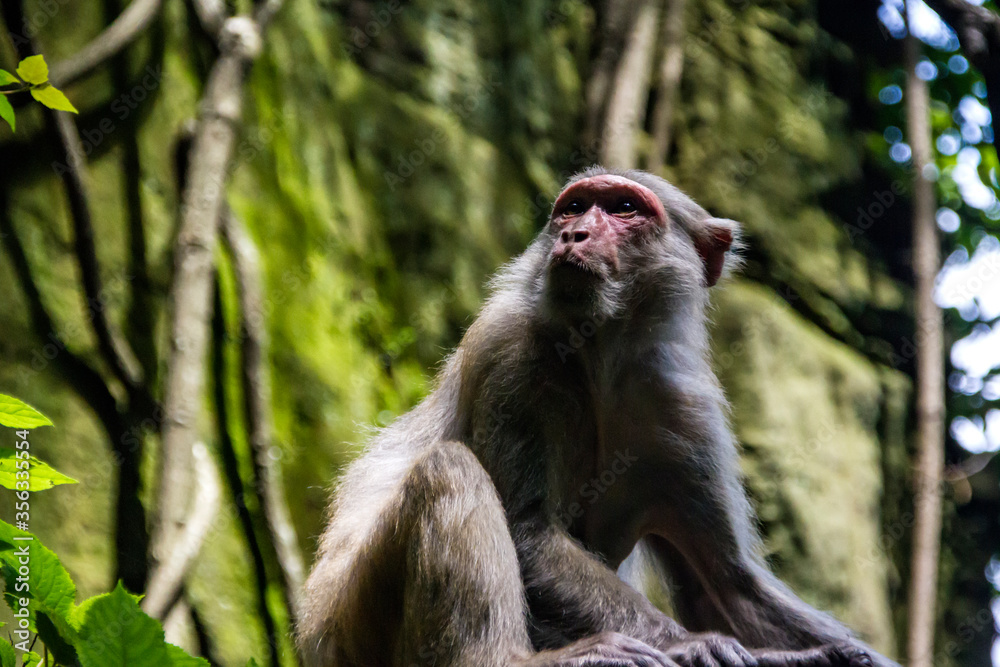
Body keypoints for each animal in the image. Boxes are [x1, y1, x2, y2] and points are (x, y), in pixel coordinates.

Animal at [297, 167, 898, 667]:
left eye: (624, 208)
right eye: (574, 208)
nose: (574, 235)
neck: (603, 353)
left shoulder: (685, 410)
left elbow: (725, 585)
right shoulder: (510, 348)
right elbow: (530, 534)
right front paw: (692, 645)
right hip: (356, 627)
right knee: (450, 470)